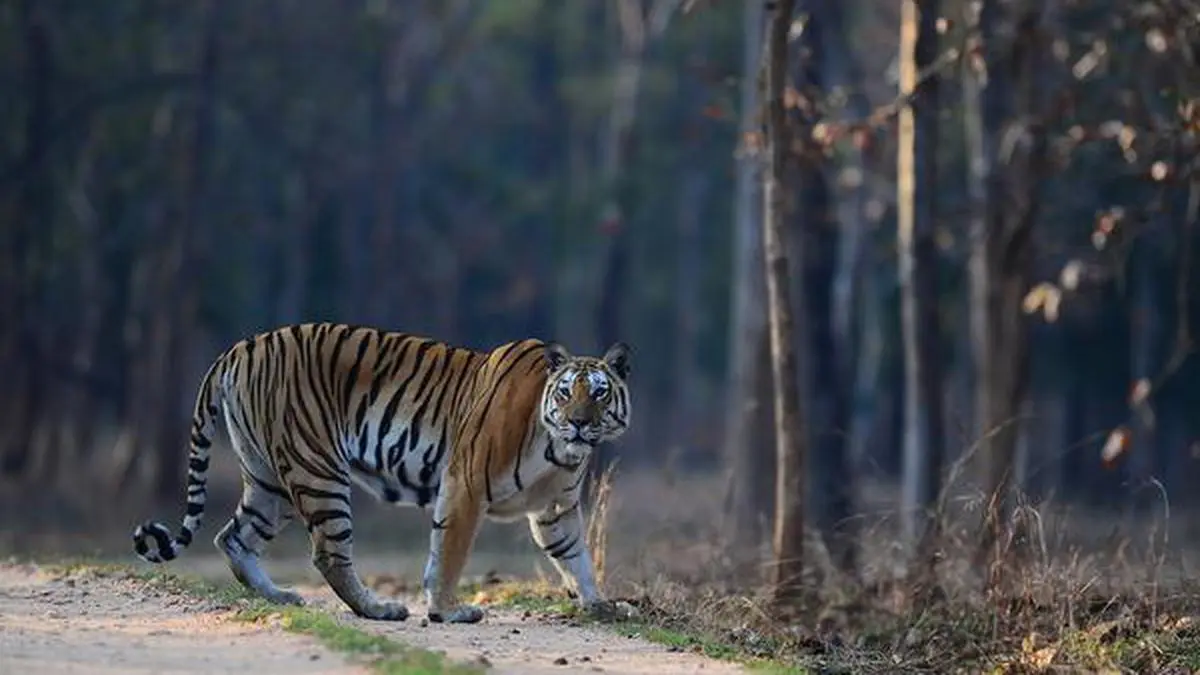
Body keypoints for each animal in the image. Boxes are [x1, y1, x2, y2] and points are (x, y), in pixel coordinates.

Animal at [131, 319, 633, 619]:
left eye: (599, 392)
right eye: (566, 392)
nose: (578, 422)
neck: (558, 448)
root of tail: (240, 347)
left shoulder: (554, 509)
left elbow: (576, 558)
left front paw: (601, 606)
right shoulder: (465, 484)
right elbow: (449, 554)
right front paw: (447, 611)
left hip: (269, 480)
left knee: (233, 536)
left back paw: (280, 597)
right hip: (318, 469)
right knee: (328, 553)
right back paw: (378, 609)